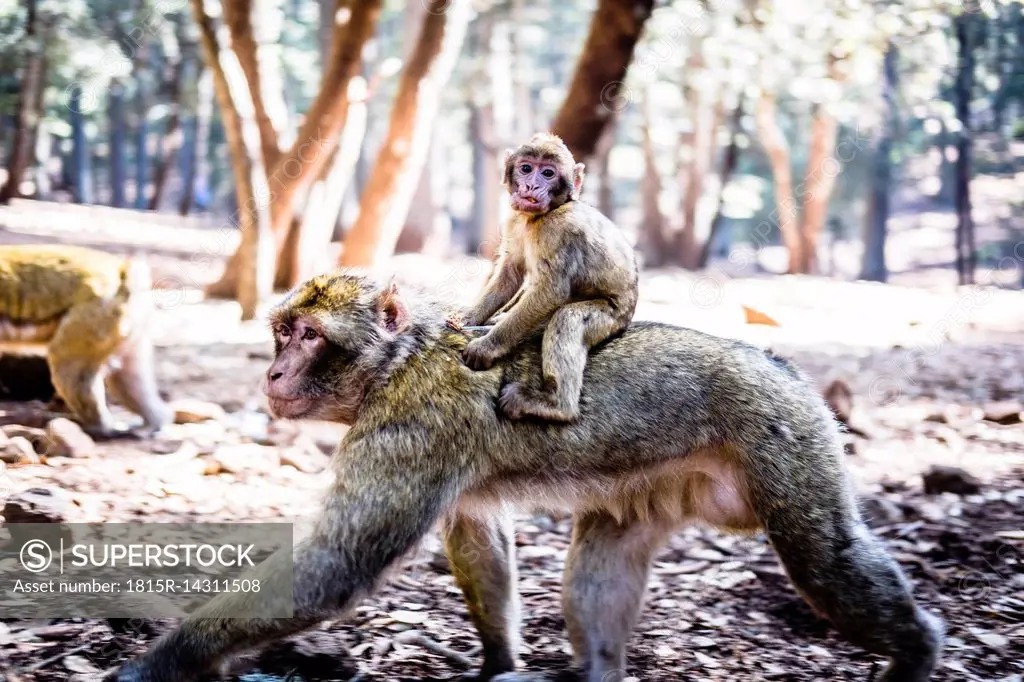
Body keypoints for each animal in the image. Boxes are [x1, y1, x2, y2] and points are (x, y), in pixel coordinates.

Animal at [0, 244, 169, 436]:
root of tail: (122, 272)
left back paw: (96, 426)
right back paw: (154, 422)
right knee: (129, 378)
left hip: (96, 313)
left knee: (67, 365)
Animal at [105, 270, 942, 679]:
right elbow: (478, 534)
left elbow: (333, 566)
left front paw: (163, 661)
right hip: (659, 483)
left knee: (825, 557)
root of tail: (777, 363)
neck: (398, 362)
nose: (275, 371)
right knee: (602, 563)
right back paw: (595, 670)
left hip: (784, 434)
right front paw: (501, 662)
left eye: (309, 336)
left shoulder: (411, 428)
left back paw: (918, 650)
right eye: (284, 330)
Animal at [458, 132, 634, 419]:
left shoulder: (560, 230)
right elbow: (511, 273)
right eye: (526, 168)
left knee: (567, 318)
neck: (540, 217)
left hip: (613, 316)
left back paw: (555, 405)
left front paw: (488, 347)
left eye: (548, 173)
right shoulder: (514, 220)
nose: (531, 186)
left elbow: (551, 292)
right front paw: (468, 318)